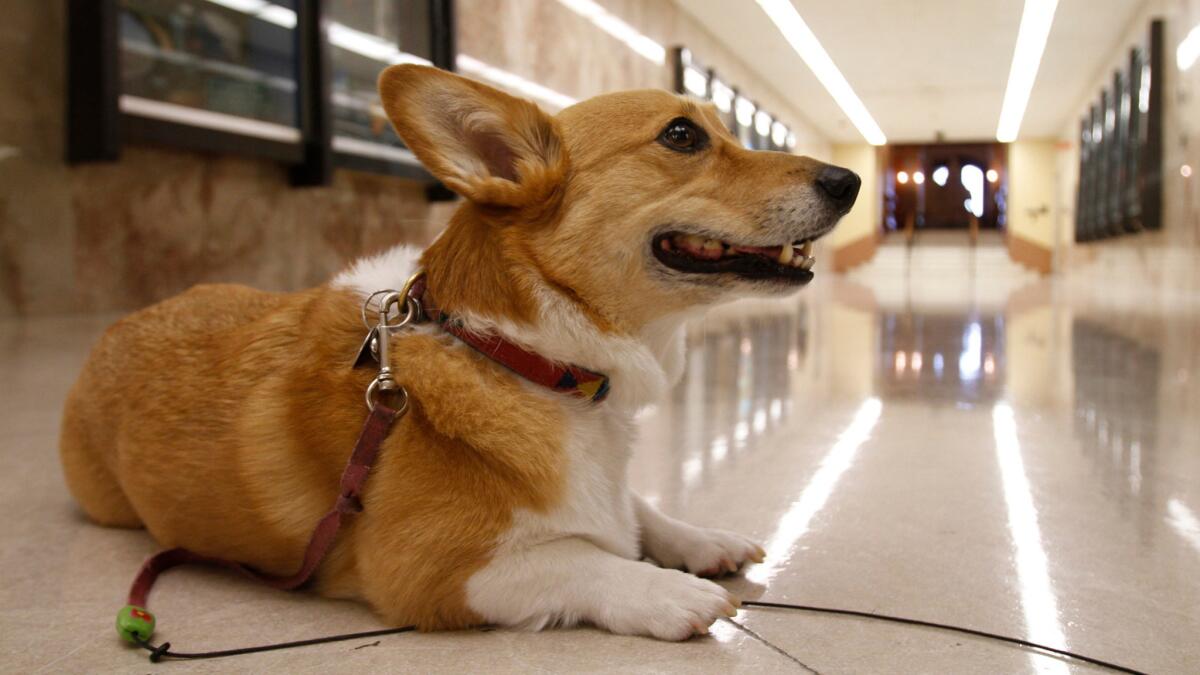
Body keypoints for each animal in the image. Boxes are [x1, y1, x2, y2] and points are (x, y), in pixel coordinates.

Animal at [60, 65, 859, 638]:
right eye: (682, 136)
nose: (849, 179)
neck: (523, 352)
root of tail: (115, 329)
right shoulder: (431, 571)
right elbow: (581, 558)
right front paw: (667, 589)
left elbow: (635, 506)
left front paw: (695, 540)